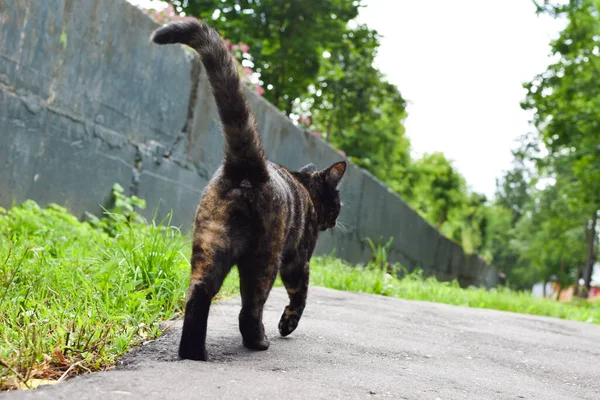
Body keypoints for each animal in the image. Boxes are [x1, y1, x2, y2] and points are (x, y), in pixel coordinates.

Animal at [151, 17, 346, 360]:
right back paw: (259, 342)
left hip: (209, 244)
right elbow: (300, 296)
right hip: (264, 258)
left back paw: (192, 353)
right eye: (337, 202)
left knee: (198, 294)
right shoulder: (299, 260)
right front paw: (287, 325)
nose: (335, 219)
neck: (305, 187)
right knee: (250, 307)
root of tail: (247, 166)